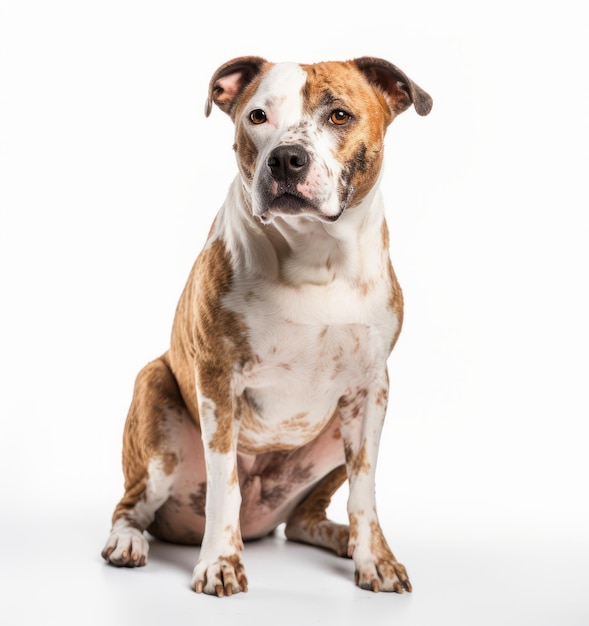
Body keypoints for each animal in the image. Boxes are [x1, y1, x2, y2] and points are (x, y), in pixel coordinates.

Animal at [102, 54, 432, 596]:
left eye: (339, 115)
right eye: (257, 116)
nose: (286, 159)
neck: (317, 257)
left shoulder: (371, 390)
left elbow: (364, 488)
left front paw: (375, 559)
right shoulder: (217, 379)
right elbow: (225, 484)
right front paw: (219, 562)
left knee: (301, 520)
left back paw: (339, 538)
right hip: (154, 404)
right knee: (132, 505)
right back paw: (128, 542)